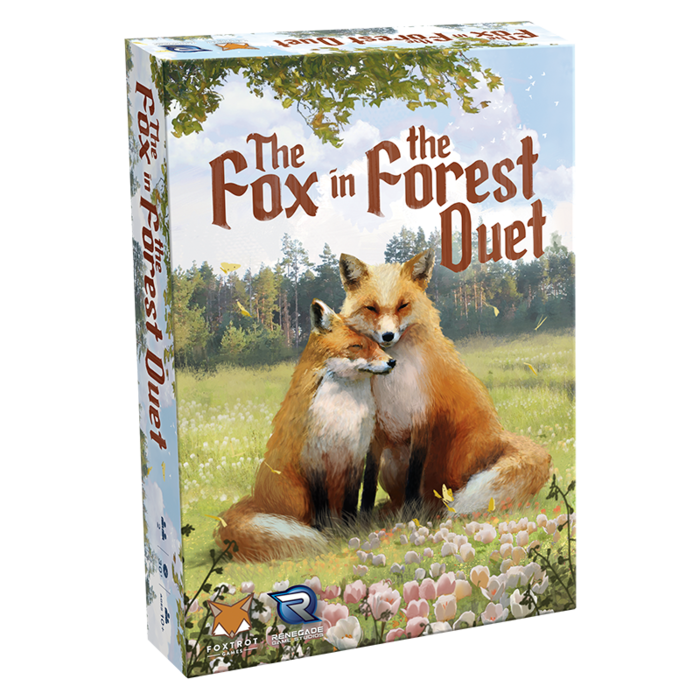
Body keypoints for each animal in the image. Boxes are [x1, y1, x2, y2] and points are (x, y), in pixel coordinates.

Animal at [213, 299, 396, 562]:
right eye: (356, 346)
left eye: (377, 344)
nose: (392, 362)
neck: (342, 413)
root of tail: (256, 500)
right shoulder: (313, 457)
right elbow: (320, 508)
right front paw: (327, 533)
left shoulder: (355, 455)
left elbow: (352, 501)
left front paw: (351, 529)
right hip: (297, 494)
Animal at [338, 249, 552, 519]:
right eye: (371, 308)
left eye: (403, 305)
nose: (387, 336)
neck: (394, 383)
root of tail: (500, 436)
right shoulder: (376, 429)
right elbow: (368, 480)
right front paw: (362, 517)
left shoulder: (422, 420)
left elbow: (414, 477)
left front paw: (411, 514)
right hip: (391, 462)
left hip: (458, 454)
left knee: (442, 491)